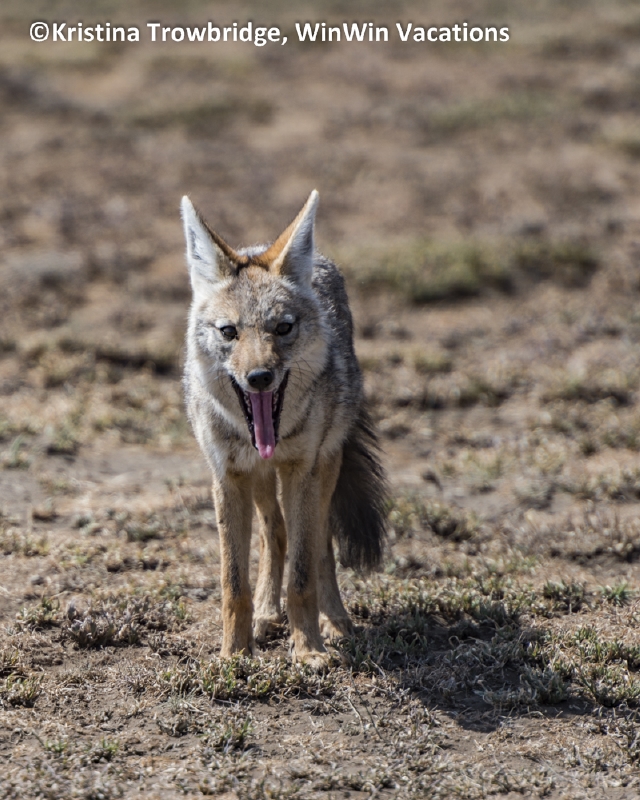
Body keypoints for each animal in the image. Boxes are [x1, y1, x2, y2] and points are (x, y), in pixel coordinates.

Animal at [180, 190, 387, 669]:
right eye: (229, 332)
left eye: (283, 327)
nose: (259, 377)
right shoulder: (229, 477)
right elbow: (233, 584)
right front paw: (234, 654)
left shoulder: (304, 471)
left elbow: (303, 574)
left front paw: (308, 648)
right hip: (259, 478)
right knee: (275, 532)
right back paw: (266, 615)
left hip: (325, 467)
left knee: (318, 542)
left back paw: (335, 622)